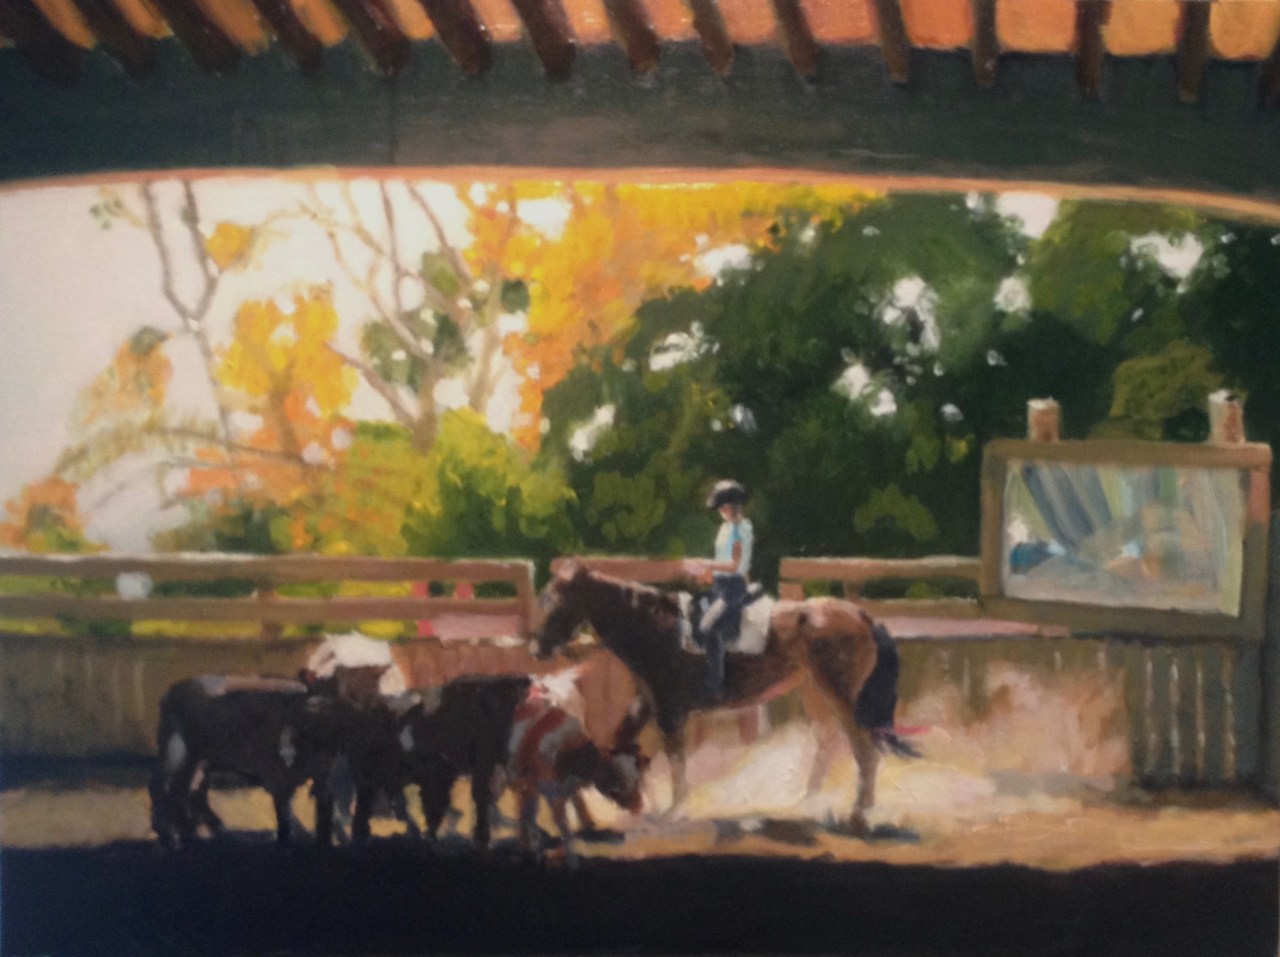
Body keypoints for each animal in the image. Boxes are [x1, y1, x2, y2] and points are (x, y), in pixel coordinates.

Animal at [532, 562, 917, 835]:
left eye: (559, 602)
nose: (538, 649)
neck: (654, 628)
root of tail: (860, 615)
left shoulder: (669, 710)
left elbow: (675, 757)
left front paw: (674, 810)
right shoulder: (647, 703)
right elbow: (620, 741)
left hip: (840, 696)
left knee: (863, 750)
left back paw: (857, 816)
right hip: (814, 690)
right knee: (828, 740)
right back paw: (810, 802)